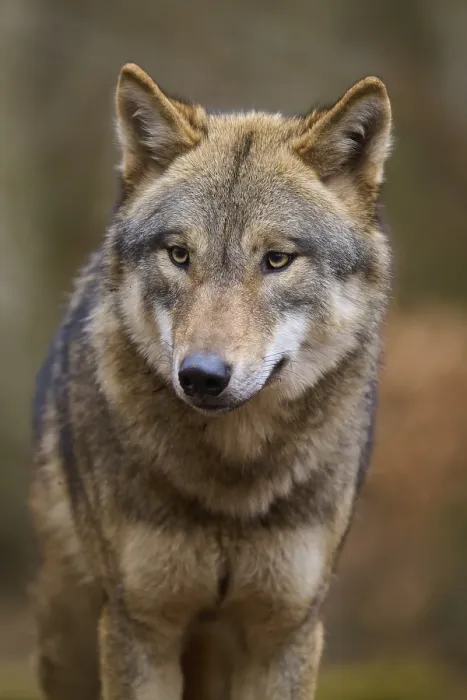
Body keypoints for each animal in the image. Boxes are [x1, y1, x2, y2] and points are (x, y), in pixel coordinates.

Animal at [30, 62, 392, 700]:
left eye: (277, 260)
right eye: (179, 255)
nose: (201, 375)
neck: (232, 482)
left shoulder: (286, 633)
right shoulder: (140, 628)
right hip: (70, 636)